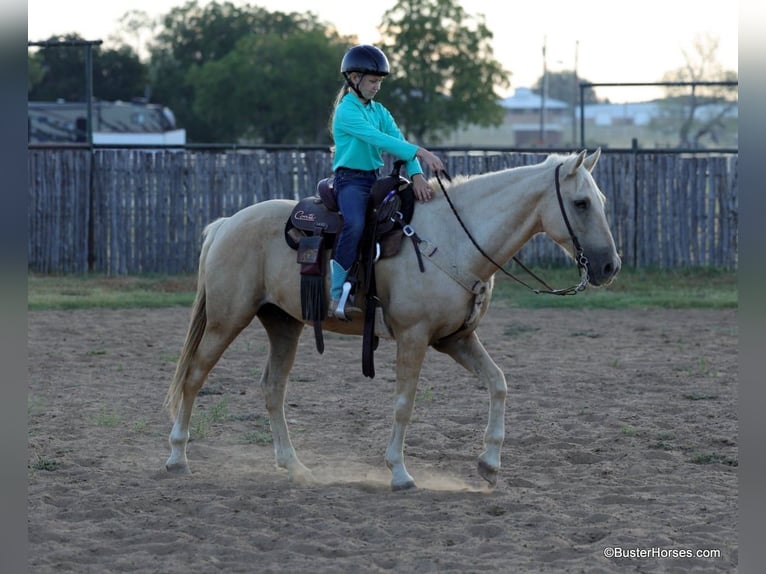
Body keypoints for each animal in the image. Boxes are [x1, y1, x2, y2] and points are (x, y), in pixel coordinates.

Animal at [165, 148, 620, 490]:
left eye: (602, 202)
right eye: (580, 203)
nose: (609, 266)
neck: (455, 239)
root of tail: (227, 223)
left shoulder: (456, 338)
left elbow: (498, 383)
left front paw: (489, 464)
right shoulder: (414, 337)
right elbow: (404, 403)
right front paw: (399, 472)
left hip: (282, 323)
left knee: (273, 388)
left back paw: (294, 466)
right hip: (226, 320)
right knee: (194, 376)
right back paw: (177, 457)